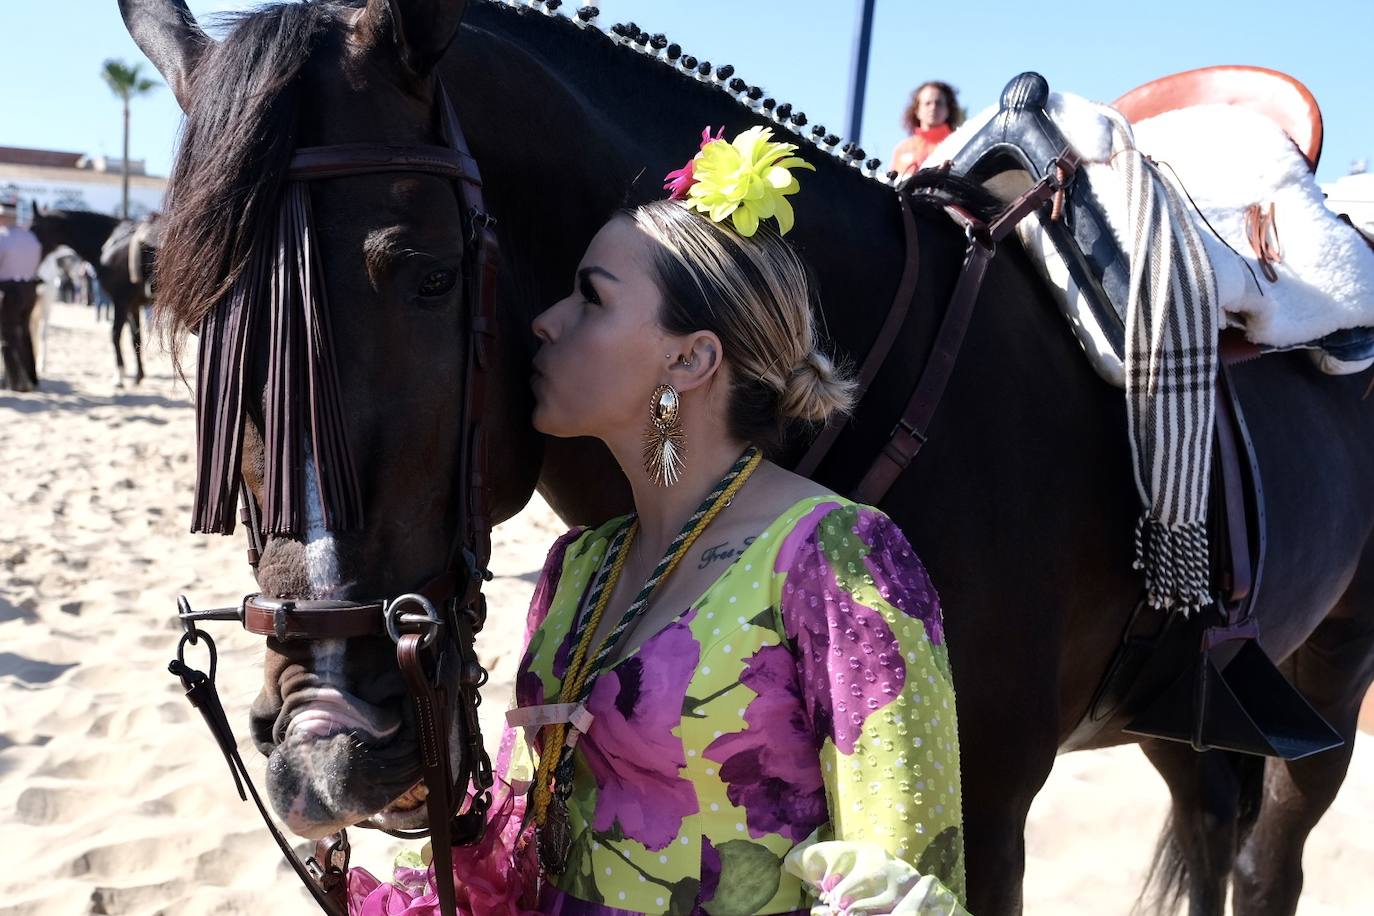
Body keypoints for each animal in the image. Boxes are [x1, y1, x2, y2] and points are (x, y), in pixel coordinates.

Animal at [31, 208, 151, 387]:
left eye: (33, 228)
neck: (110, 242)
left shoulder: (120, 301)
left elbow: (115, 334)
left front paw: (119, 376)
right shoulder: (132, 305)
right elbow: (135, 337)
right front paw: (139, 376)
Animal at [123, 1, 1374, 916]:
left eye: (428, 277)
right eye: (200, 324)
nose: (325, 752)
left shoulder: (982, 806)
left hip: (1328, 673)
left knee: (1266, 855)